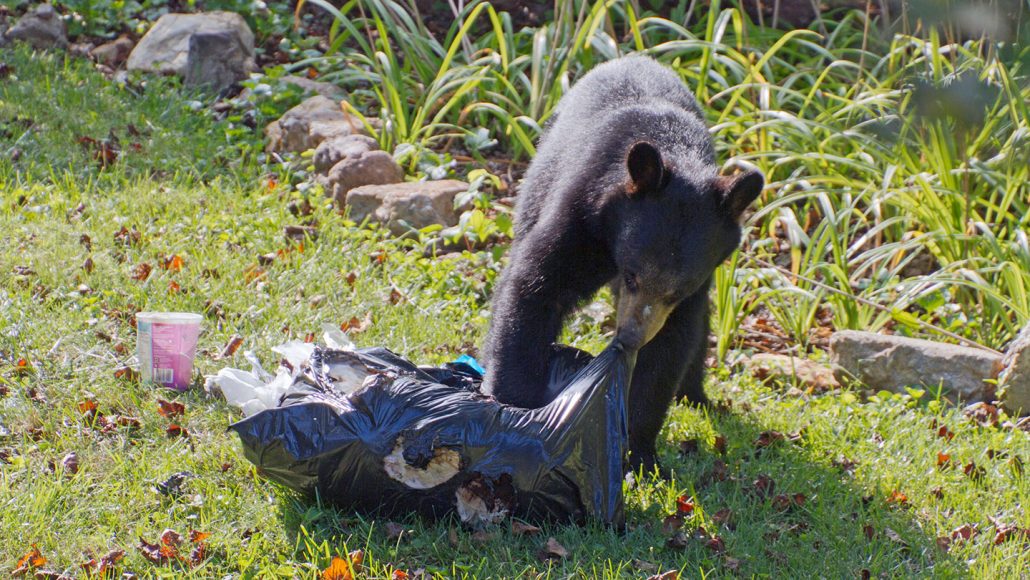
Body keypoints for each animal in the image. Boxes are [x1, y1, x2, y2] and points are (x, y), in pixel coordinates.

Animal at [482, 55, 766, 471]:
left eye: (675, 292)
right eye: (632, 276)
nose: (630, 337)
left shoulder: (697, 284)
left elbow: (671, 345)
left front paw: (639, 451)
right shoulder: (582, 215)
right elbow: (536, 286)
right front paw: (513, 407)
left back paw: (697, 395)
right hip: (537, 182)